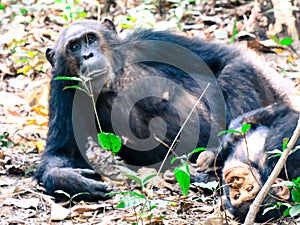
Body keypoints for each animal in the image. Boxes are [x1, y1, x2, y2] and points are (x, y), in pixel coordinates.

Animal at [35, 19, 292, 200]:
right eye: (74, 46)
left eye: (90, 39)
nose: (87, 54)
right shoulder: (62, 90)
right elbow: (62, 151)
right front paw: (71, 180)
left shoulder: (153, 40)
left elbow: (225, 60)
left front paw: (223, 145)